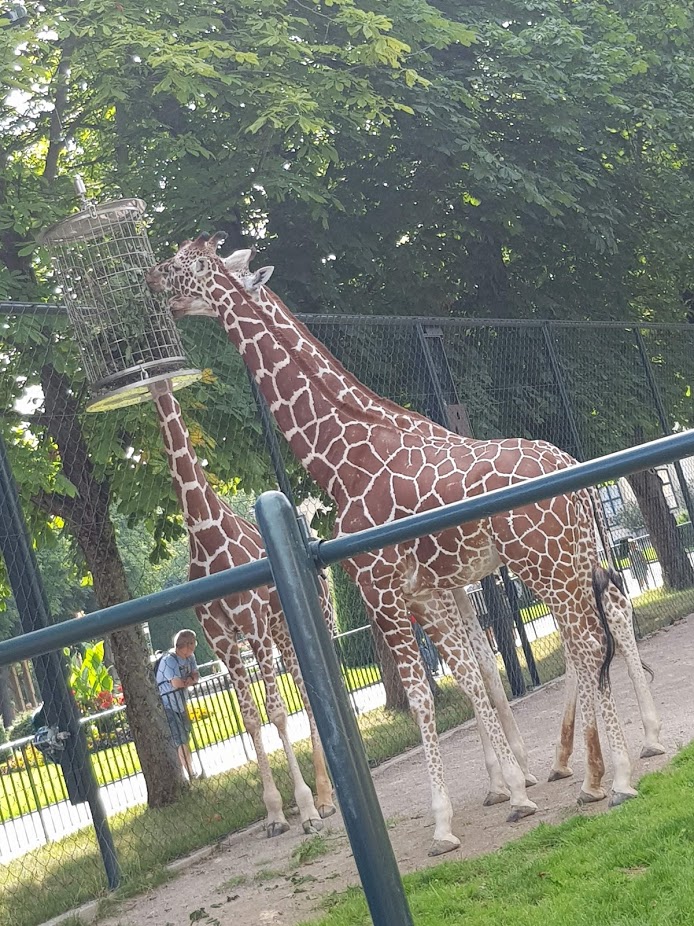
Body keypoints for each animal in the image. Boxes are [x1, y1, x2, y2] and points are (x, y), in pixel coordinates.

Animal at [149, 378, 336, 835]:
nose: (156, 386)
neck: (205, 534)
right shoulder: (221, 639)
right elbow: (251, 718)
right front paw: (274, 814)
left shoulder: (253, 625)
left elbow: (278, 712)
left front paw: (305, 808)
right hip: (284, 632)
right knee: (306, 694)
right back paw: (327, 797)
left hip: (305, 624)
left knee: (310, 695)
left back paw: (324, 800)